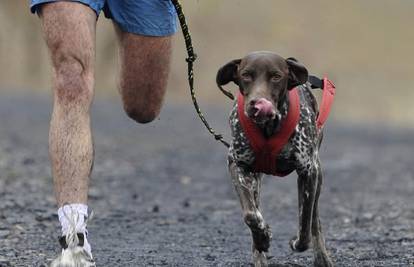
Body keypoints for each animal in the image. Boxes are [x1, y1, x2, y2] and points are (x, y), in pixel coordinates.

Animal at [217, 51, 334, 266]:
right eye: (246, 75)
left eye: (276, 77)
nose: (257, 104)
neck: (268, 128)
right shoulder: (237, 165)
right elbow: (251, 215)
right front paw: (262, 238)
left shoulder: (308, 172)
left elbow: (305, 224)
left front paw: (296, 242)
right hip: (255, 179)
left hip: (317, 175)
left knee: (314, 220)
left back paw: (321, 257)